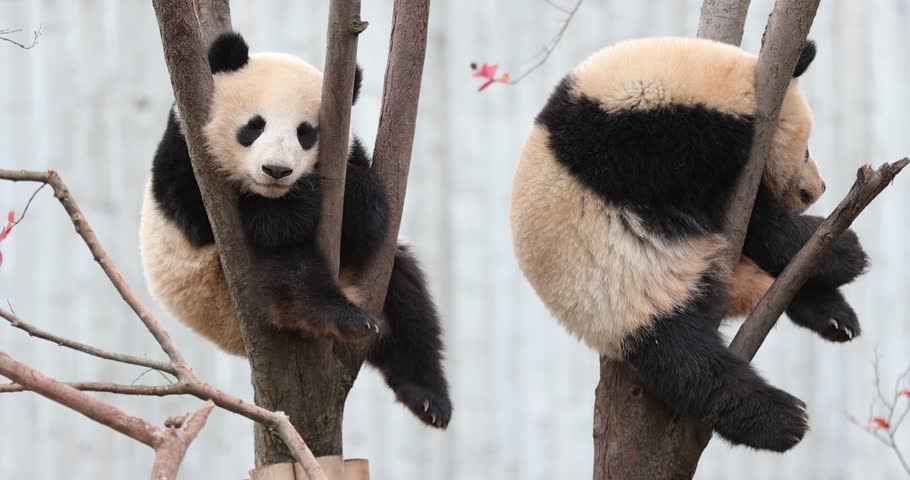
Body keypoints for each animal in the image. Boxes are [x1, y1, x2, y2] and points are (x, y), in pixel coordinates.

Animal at [140, 31, 451, 428]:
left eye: (306, 133)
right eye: (254, 126)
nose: (277, 170)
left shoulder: (350, 155)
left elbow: (371, 221)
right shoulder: (185, 150)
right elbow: (203, 219)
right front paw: (286, 211)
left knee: (411, 308)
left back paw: (427, 398)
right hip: (223, 285)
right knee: (290, 272)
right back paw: (340, 316)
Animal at [510, 37, 868, 451]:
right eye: (807, 149)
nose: (816, 190)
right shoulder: (640, 147)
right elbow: (747, 213)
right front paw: (845, 251)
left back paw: (836, 318)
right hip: (626, 301)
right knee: (690, 364)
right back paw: (782, 420)